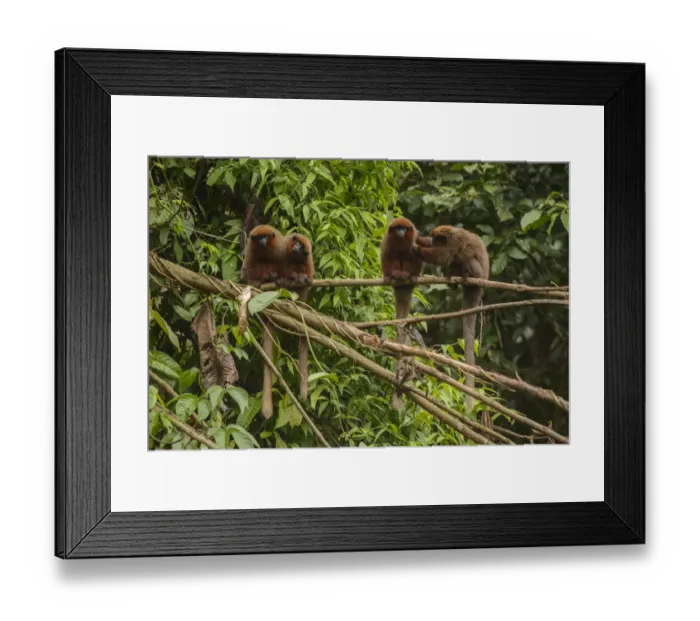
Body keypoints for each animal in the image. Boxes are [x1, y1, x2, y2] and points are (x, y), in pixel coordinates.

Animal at [413, 225, 490, 413]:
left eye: (437, 238)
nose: (433, 241)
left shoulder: (455, 242)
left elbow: (443, 256)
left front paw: (417, 249)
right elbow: (440, 253)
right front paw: (418, 239)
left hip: (478, 274)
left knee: (466, 259)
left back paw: (468, 275)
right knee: (455, 262)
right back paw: (451, 280)